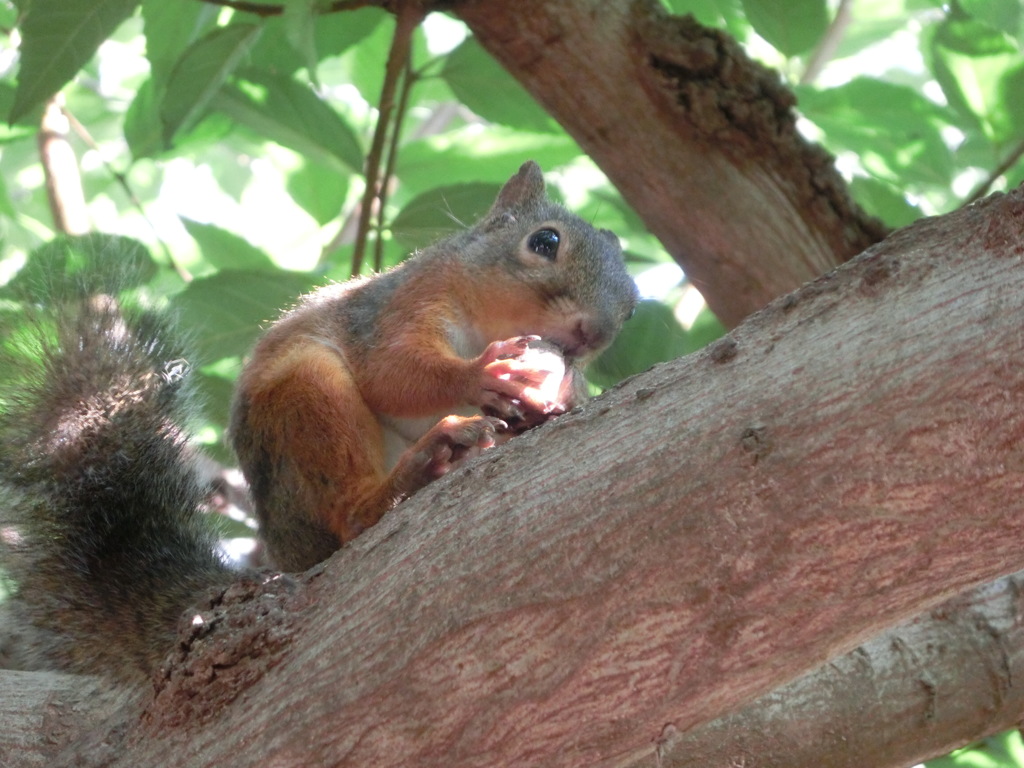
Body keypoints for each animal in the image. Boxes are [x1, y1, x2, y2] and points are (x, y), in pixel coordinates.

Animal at [0, 160, 634, 679]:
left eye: (630, 308)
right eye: (545, 241)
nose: (594, 334)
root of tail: (290, 556)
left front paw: (561, 398)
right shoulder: (398, 307)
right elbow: (392, 371)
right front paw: (481, 375)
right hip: (308, 395)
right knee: (351, 513)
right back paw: (421, 466)